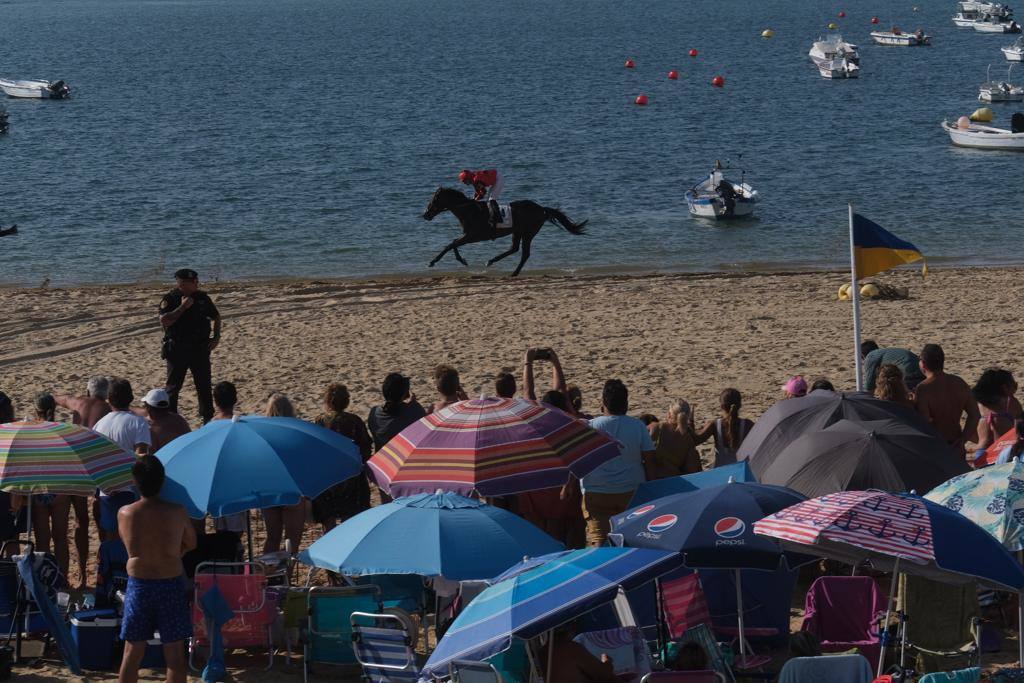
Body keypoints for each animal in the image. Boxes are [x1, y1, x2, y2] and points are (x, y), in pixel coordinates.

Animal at [419, 187, 589, 278]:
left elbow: (451, 244)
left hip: (528, 232)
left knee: (524, 253)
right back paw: (492, 261)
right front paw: (461, 260)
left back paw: (513, 272)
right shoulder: (469, 236)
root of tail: (542, 208)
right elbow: (453, 243)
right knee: (514, 248)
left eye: (434, 200)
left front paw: (433, 261)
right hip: (518, 231)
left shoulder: (474, 236)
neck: (470, 211)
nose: (425, 214)